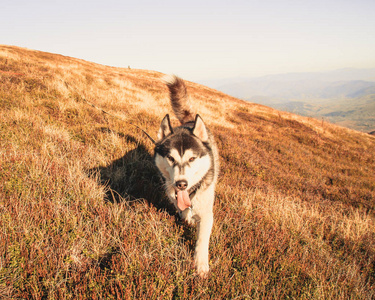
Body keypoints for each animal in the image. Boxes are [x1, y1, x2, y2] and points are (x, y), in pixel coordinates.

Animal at [156, 75, 220, 276]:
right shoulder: (173, 196)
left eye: (192, 158)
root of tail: (190, 121)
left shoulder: (207, 212)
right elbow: (183, 212)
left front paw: (201, 264)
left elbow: (202, 240)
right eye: (170, 158)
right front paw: (188, 217)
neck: (190, 194)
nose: (181, 184)